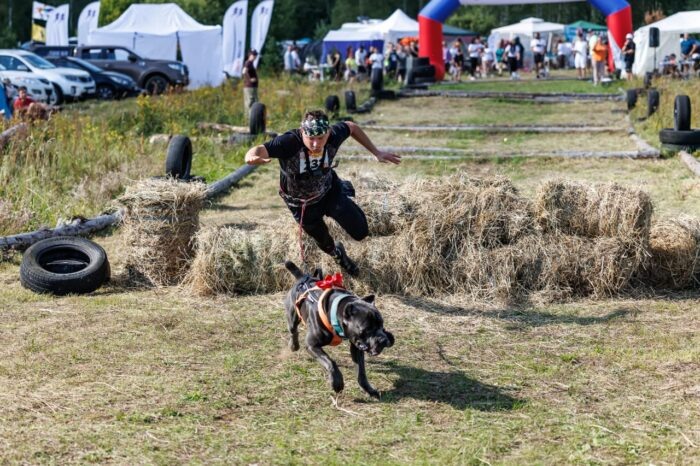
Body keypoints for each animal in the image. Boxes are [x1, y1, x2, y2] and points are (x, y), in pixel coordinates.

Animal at [284, 261, 394, 399]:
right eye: (367, 329)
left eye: (381, 325)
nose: (383, 340)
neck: (334, 311)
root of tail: (304, 278)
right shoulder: (312, 345)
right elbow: (330, 362)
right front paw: (337, 383)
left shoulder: (356, 347)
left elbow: (361, 372)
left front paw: (369, 390)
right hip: (292, 315)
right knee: (293, 330)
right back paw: (294, 345)